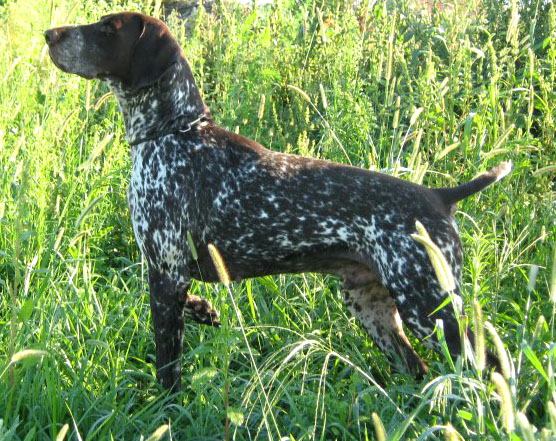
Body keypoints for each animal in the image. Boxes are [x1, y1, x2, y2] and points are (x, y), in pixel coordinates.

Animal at [45, 11, 510, 388]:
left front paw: (166, 409)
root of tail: (440, 196)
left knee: (488, 366)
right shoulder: (167, 271)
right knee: (419, 370)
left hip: (429, 307)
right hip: (374, 309)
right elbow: (192, 308)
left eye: (109, 28)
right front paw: (205, 310)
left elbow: (167, 367)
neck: (175, 131)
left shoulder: (166, 272)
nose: (50, 34)